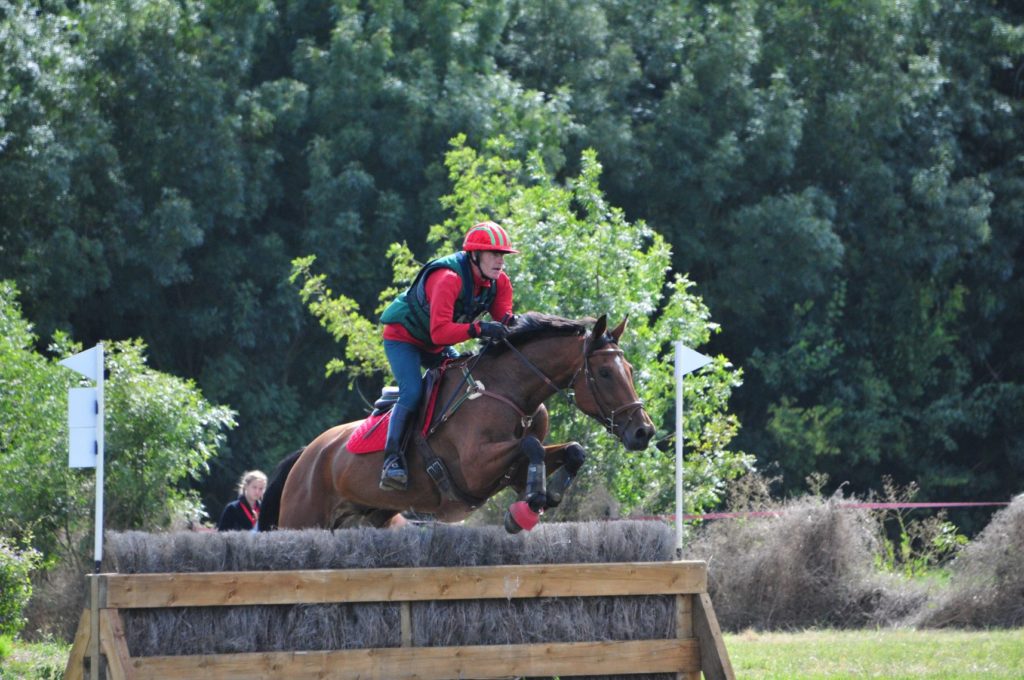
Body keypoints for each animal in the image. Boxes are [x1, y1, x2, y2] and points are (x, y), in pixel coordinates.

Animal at [260, 311, 651, 532]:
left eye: (630, 370)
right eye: (604, 373)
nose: (643, 431)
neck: (510, 390)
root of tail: (308, 454)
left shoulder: (510, 472)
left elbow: (572, 450)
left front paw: (548, 494)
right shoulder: (476, 468)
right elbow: (531, 445)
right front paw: (528, 508)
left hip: (363, 519)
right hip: (301, 516)